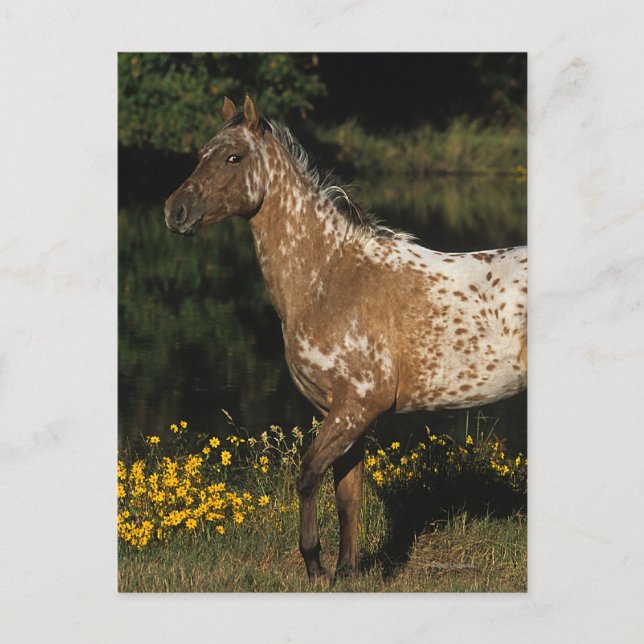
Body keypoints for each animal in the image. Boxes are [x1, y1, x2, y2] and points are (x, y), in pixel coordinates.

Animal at [164, 95, 527, 582]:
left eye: (233, 157)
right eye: (202, 152)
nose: (175, 211)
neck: (331, 277)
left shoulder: (356, 408)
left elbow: (308, 477)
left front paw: (315, 564)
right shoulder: (343, 412)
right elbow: (347, 494)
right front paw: (347, 571)